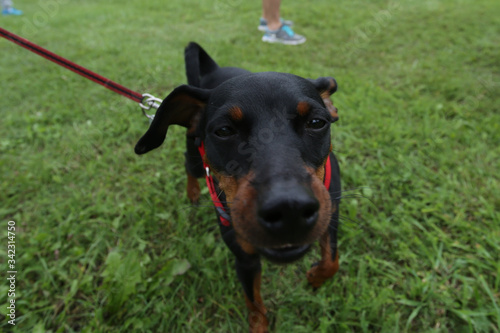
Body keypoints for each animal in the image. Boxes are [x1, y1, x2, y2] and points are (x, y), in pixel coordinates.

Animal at [135, 42, 342, 330]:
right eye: (223, 130)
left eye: (317, 122)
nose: (290, 209)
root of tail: (213, 70)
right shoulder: (244, 258)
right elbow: (254, 304)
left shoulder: (331, 213)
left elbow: (332, 260)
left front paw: (316, 277)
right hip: (196, 156)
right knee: (189, 167)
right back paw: (192, 193)